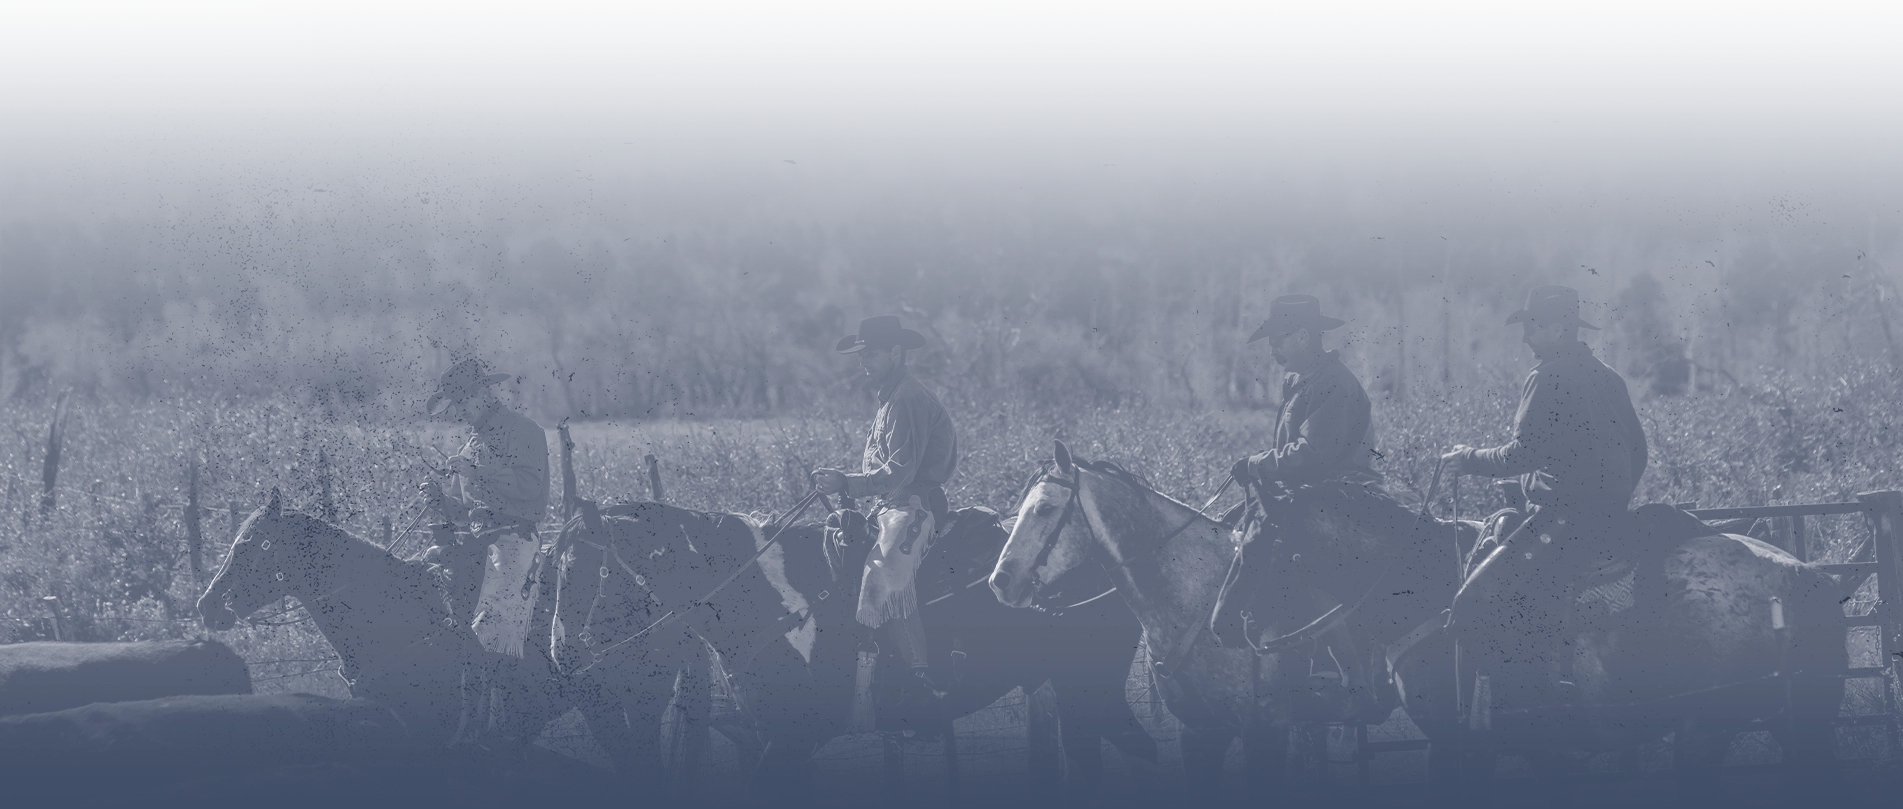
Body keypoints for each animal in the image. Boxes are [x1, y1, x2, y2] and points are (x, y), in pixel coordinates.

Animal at [551, 494, 1157, 799]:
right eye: (553, 566)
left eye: (586, 570)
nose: (562, 653)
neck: (771, 601)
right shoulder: (762, 736)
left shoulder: (793, 738)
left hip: (1091, 690)